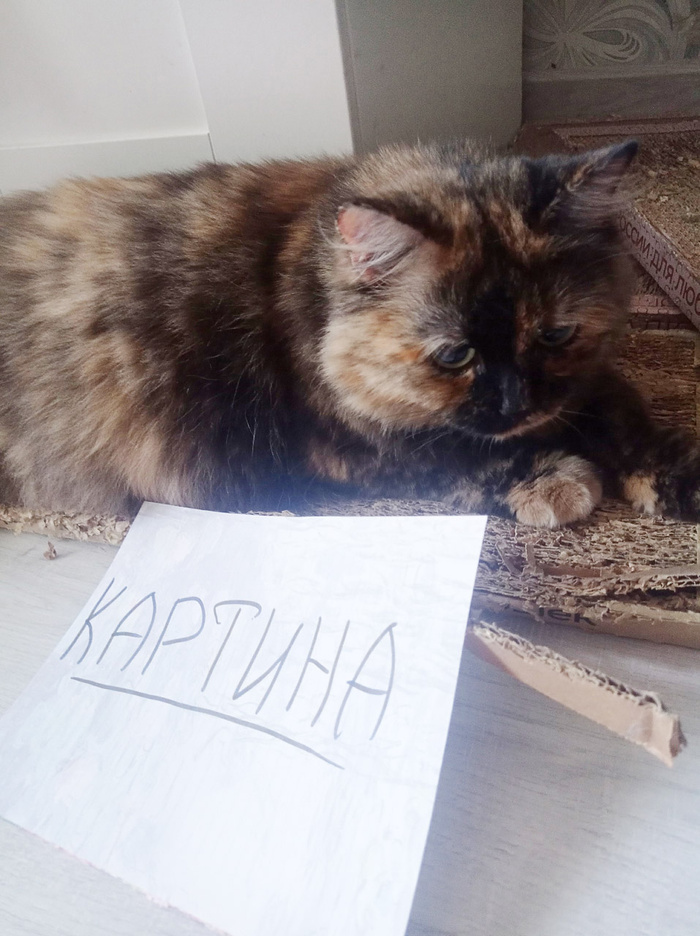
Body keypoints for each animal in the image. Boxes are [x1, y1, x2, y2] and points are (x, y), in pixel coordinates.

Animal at [0, 139, 698, 527]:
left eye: (553, 336)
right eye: (455, 355)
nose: (515, 404)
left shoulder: (584, 383)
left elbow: (624, 416)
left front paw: (675, 476)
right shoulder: (345, 446)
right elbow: (459, 456)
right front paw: (559, 481)